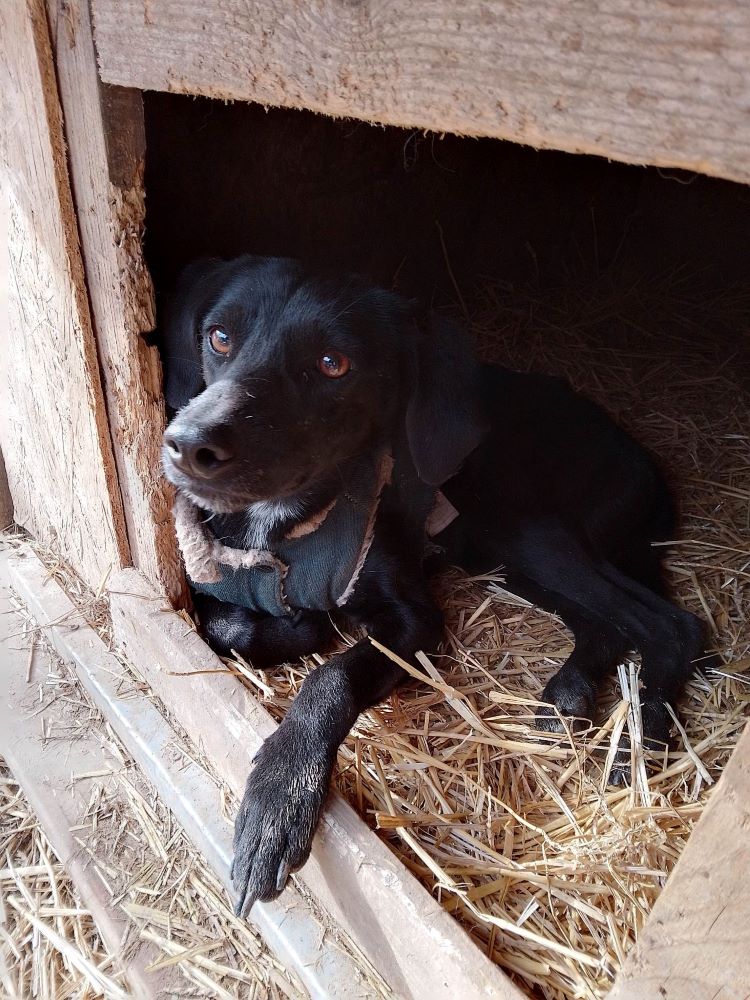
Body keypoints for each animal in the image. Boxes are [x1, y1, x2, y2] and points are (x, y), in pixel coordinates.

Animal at [162, 256, 708, 916]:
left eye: (332, 363)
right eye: (219, 337)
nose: (188, 444)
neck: (289, 524)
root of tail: (640, 455)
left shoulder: (415, 618)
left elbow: (332, 676)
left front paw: (278, 797)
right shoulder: (222, 591)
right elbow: (230, 624)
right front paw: (297, 628)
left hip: (527, 526)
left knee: (672, 623)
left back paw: (641, 743)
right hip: (503, 552)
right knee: (604, 621)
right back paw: (572, 693)